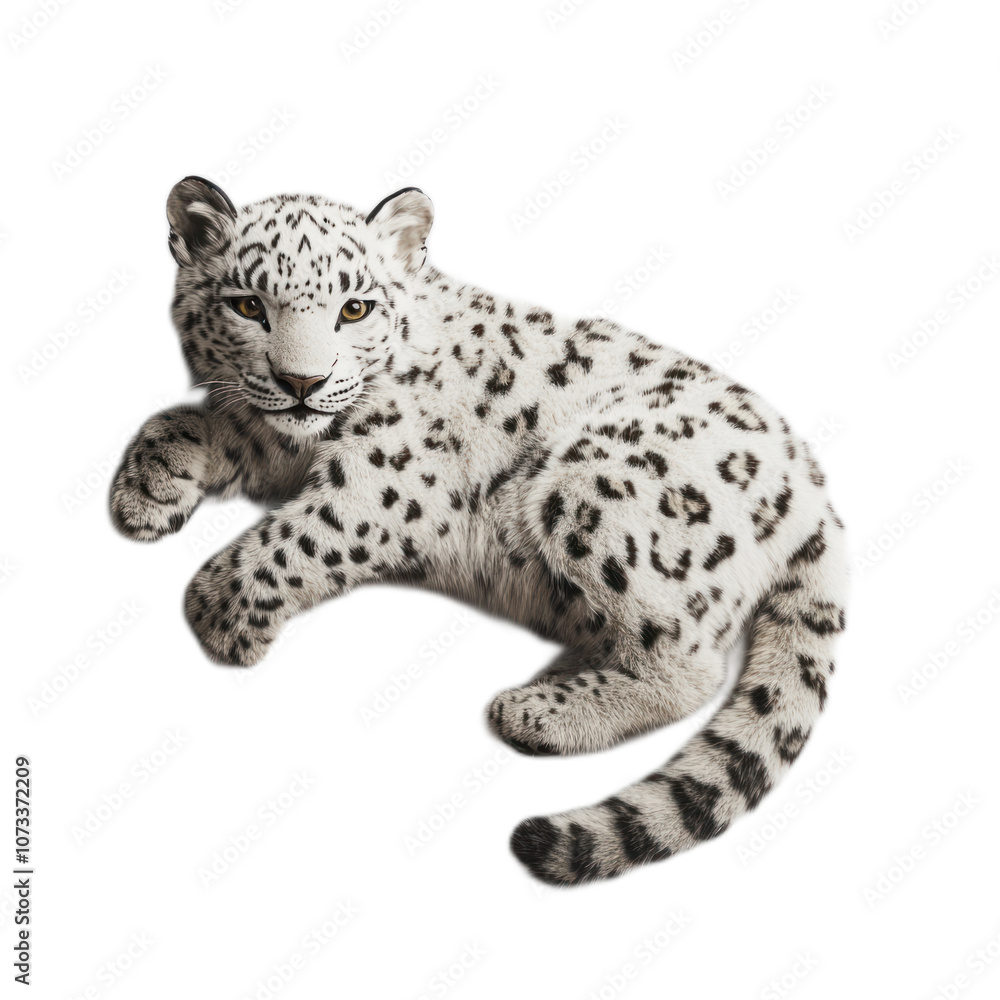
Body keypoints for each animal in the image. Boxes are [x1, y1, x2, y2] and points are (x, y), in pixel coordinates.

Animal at [109, 176, 848, 885]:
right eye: (248, 306)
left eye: (355, 309)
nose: (302, 382)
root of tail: (814, 484)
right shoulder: (273, 435)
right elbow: (190, 421)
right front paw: (146, 492)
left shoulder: (387, 480)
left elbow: (298, 538)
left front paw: (221, 613)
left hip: (592, 486)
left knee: (690, 663)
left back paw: (540, 711)